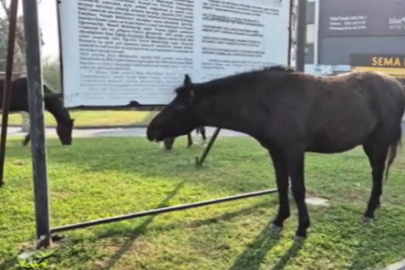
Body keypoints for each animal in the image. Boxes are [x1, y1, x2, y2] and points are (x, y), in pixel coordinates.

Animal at [146, 65, 404, 238]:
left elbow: (298, 189)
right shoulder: (276, 151)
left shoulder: (294, 150)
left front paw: (302, 228)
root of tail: (396, 85)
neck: (271, 101)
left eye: (179, 106)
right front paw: (279, 220)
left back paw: (369, 212)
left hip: (379, 141)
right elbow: (282, 185)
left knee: (377, 174)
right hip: (369, 143)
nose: (151, 131)